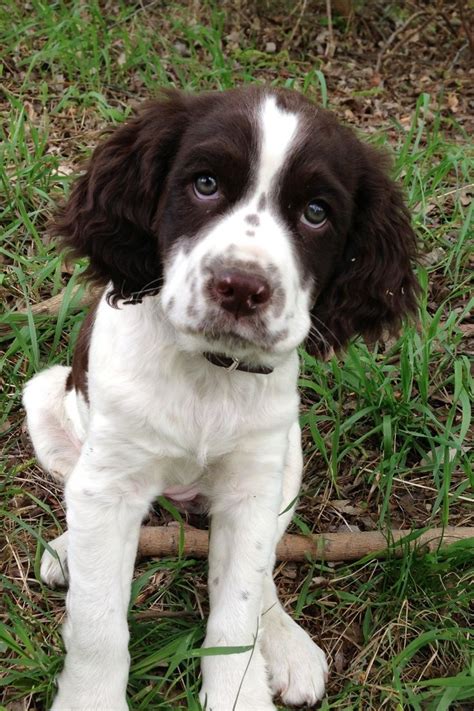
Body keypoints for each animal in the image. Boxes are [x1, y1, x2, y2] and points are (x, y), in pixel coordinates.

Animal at [23, 87, 414, 711]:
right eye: (204, 184)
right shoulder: (110, 482)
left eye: (316, 212)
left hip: (288, 456)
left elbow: (238, 611)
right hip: (45, 401)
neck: (209, 374)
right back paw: (65, 549)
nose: (242, 288)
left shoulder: (253, 485)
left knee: (263, 571)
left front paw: (238, 692)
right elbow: (97, 621)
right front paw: (91, 699)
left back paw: (286, 642)